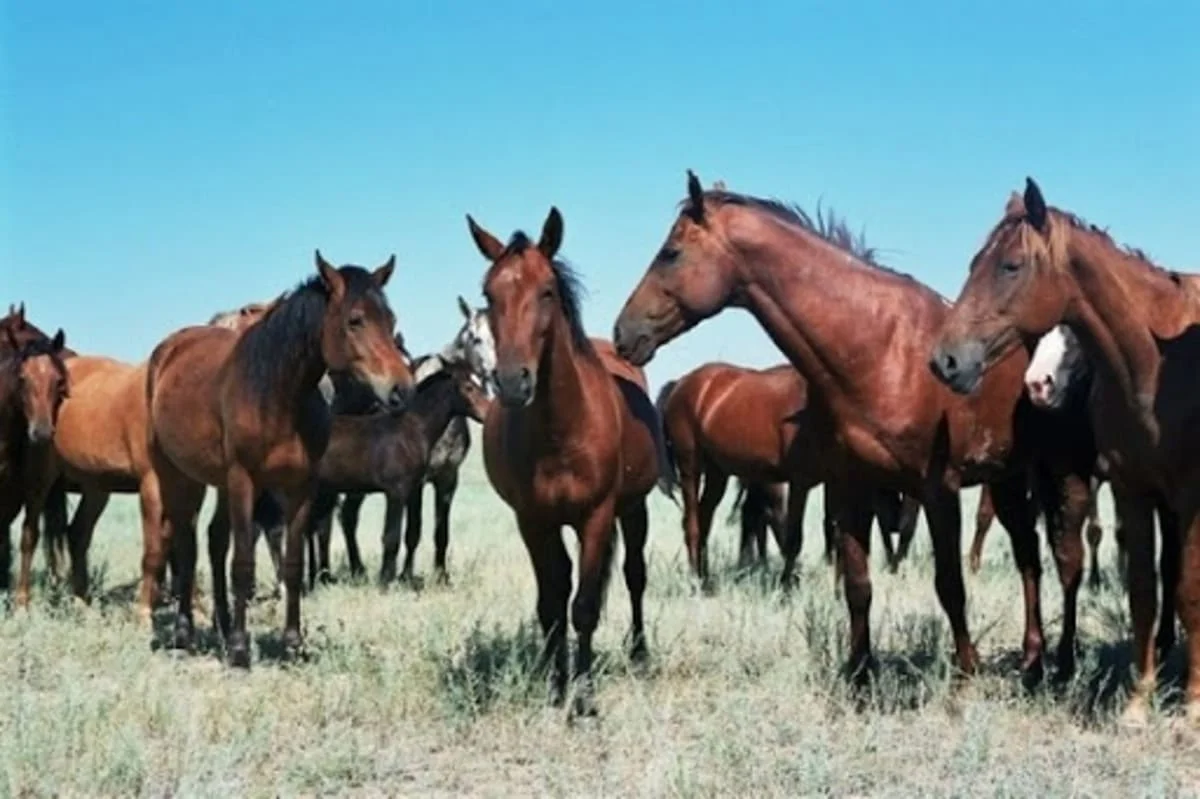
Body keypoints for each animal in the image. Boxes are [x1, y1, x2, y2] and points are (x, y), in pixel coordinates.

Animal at [145, 251, 412, 662]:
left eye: (391, 319)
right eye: (355, 320)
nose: (402, 390)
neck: (276, 396)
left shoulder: (301, 486)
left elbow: (292, 563)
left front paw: (292, 643)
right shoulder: (244, 480)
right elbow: (243, 563)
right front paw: (241, 649)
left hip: (219, 482)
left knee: (214, 540)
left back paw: (222, 625)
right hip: (178, 474)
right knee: (186, 543)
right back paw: (185, 631)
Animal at [468, 206, 662, 715]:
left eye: (547, 291)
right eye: (488, 294)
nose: (512, 382)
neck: (561, 430)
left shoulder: (596, 516)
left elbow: (585, 607)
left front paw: (586, 699)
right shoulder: (533, 521)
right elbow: (552, 604)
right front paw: (557, 686)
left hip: (633, 509)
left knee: (634, 576)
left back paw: (639, 654)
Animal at [926, 178, 1200, 719]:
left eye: (1011, 266)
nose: (945, 360)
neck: (1155, 363)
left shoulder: (1191, 495)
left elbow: (1190, 590)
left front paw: (1194, 704)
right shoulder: (1133, 489)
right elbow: (1143, 589)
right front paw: (1138, 702)